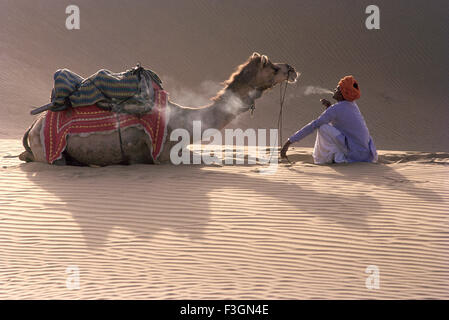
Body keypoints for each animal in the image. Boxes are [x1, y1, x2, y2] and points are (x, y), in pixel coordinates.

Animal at [19, 52, 298, 165]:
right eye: (273, 67)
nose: (292, 68)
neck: (183, 122)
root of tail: (33, 127)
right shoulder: (157, 156)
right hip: (49, 151)